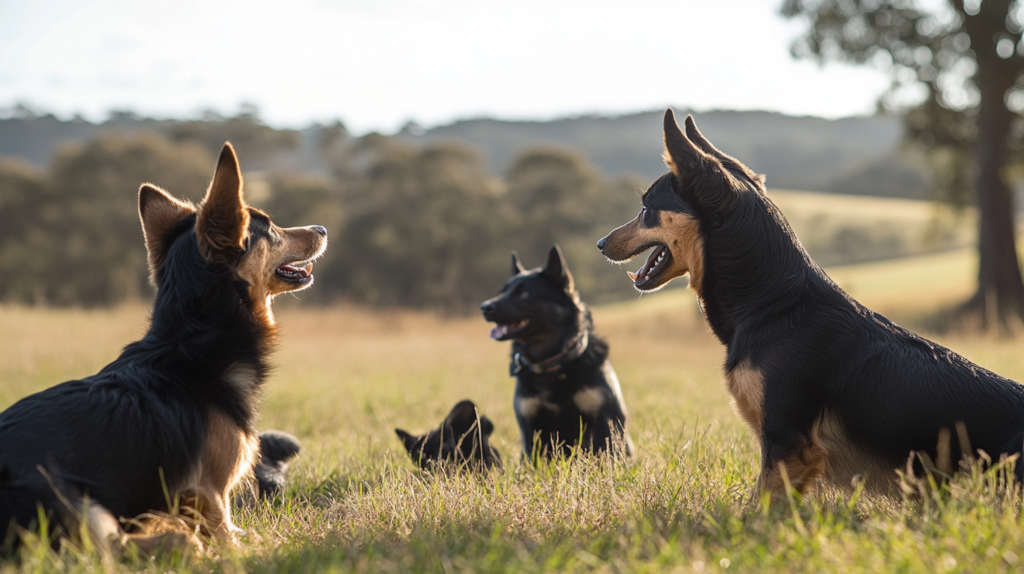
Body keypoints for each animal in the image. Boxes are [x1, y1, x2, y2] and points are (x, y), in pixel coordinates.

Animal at [479, 243, 630, 458]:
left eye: (523, 294)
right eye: (503, 291)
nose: (484, 307)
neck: (552, 362)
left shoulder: (606, 421)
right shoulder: (530, 428)